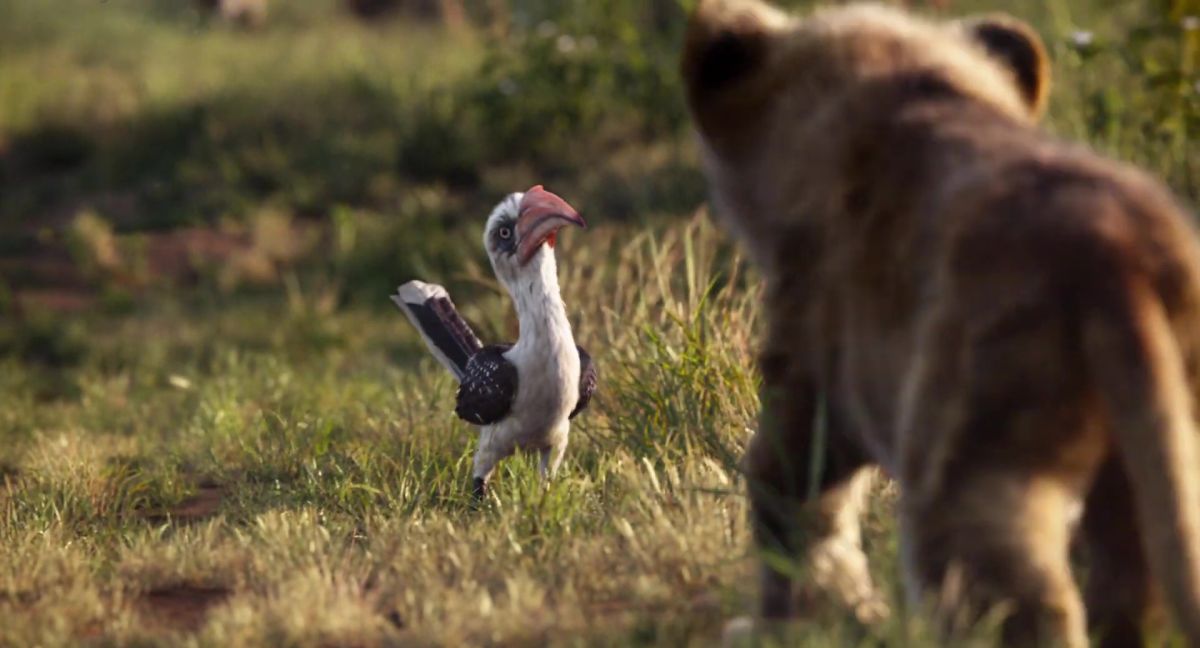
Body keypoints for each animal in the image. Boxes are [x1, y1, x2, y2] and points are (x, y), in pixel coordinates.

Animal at [681, 1, 1200, 646]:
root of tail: (1116, 255)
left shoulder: (812, 359)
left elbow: (790, 492)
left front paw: (804, 619)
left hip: (971, 421)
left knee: (1007, 580)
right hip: (1153, 431)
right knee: (1131, 577)